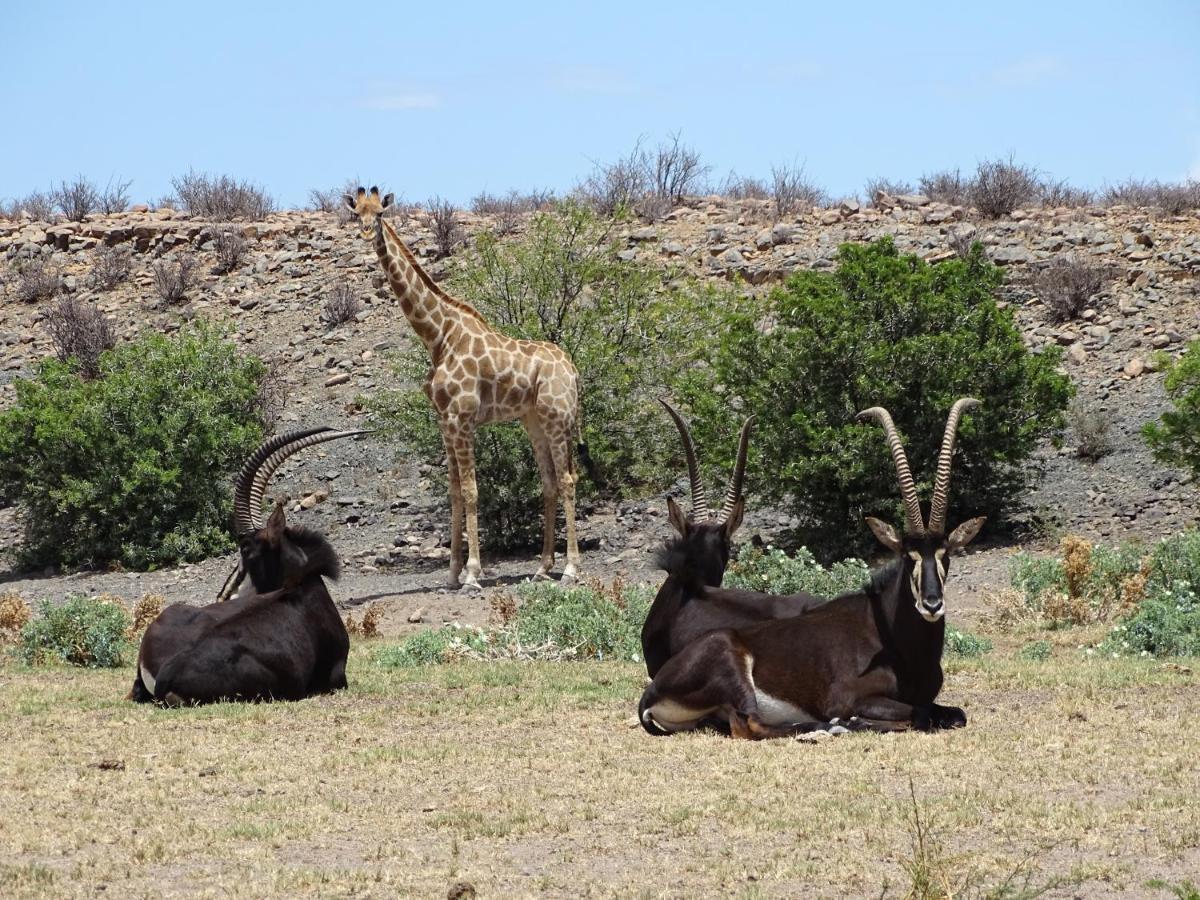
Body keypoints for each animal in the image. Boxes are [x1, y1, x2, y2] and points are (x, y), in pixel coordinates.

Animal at [345, 187, 583, 592]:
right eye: (355, 213)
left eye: (379, 214)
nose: (363, 232)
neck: (437, 337)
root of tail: (572, 368)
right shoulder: (444, 420)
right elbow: (454, 492)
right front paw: (452, 572)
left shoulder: (463, 416)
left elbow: (472, 490)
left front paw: (472, 573)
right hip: (533, 421)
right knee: (550, 482)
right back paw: (542, 567)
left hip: (557, 416)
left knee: (567, 479)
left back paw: (570, 569)